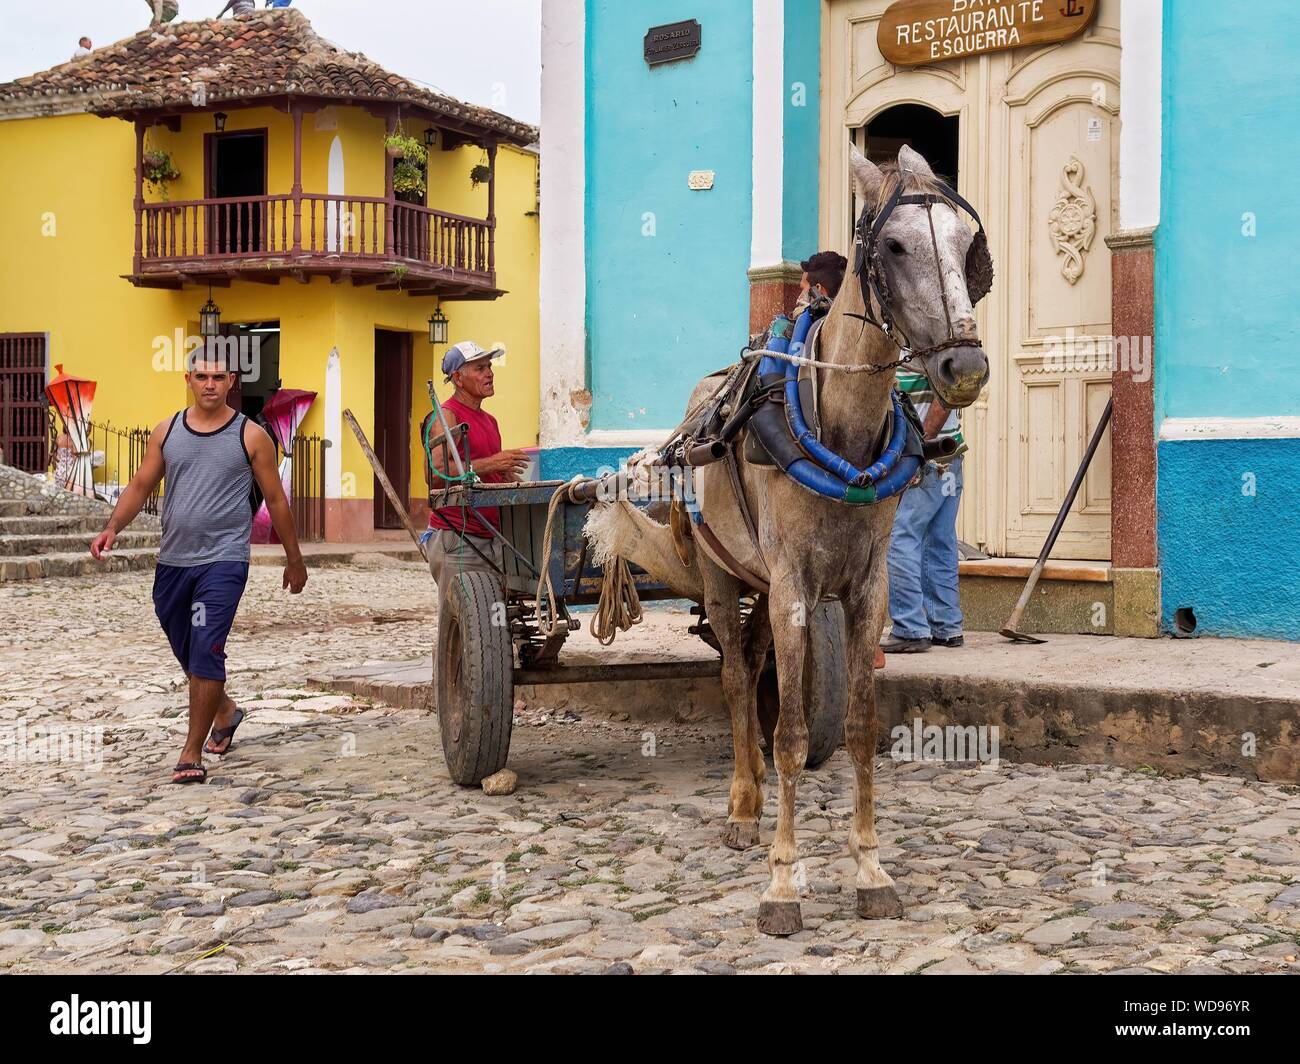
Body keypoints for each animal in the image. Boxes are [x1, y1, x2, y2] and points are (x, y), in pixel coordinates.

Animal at [585, 143, 987, 926]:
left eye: (965, 246)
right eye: (894, 247)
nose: (965, 366)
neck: (842, 427)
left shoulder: (865, 588)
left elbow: (857, 726)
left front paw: (869, 870)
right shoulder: (796, 585)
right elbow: (793, 732)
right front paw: (781, 881)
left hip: (764, 586)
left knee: (752, 663)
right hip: (723, 578)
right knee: (737, 682)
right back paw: (744, 806)